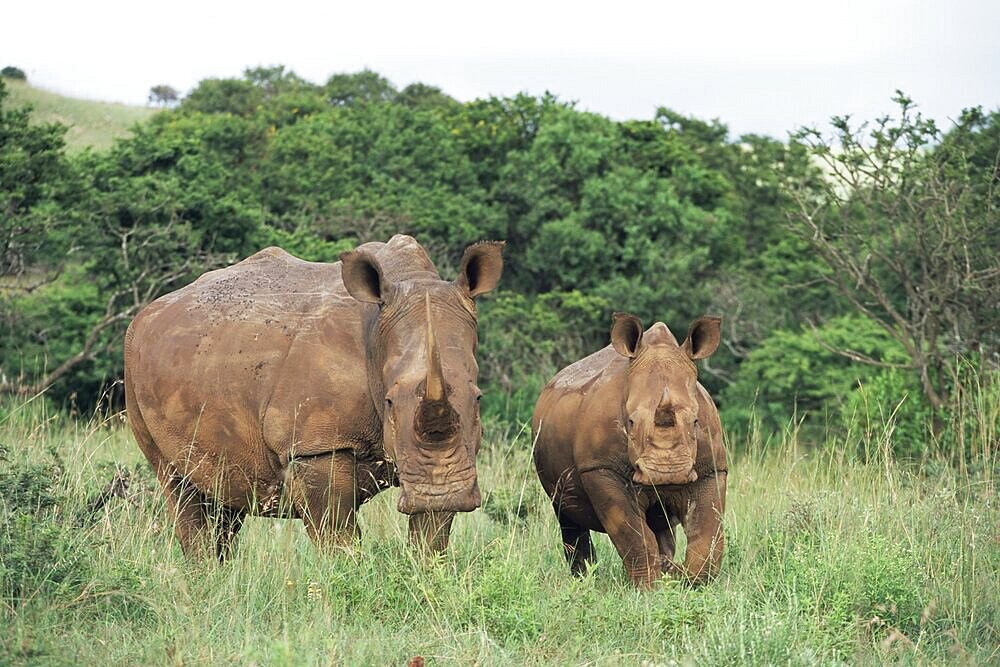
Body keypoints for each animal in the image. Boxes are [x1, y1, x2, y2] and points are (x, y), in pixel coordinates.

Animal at [532, 316, 728, 588]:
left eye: (696, 421)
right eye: (631, 422)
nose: (666, 473)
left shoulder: (712, 469)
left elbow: (708, 533)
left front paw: (685, 581)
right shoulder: (600, 468)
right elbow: (632, 534)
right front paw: (649, 588)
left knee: (661, 525)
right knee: (567, 515)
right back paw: (583, 581)